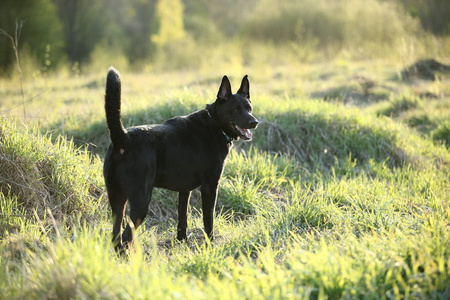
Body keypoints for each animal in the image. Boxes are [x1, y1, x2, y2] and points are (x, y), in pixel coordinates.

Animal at [102, 68, 256, 251]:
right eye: (236, 110)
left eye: (249, 108)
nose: (254, 122)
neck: (215, 124)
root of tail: (123, 138)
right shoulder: (210, 187)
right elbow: (208, 221)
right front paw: (210, 245)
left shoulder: (184, 190)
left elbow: (183, 219)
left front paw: (182, 243)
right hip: (141, 202)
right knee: (126, 237)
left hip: (117, 200)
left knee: (116, 236)